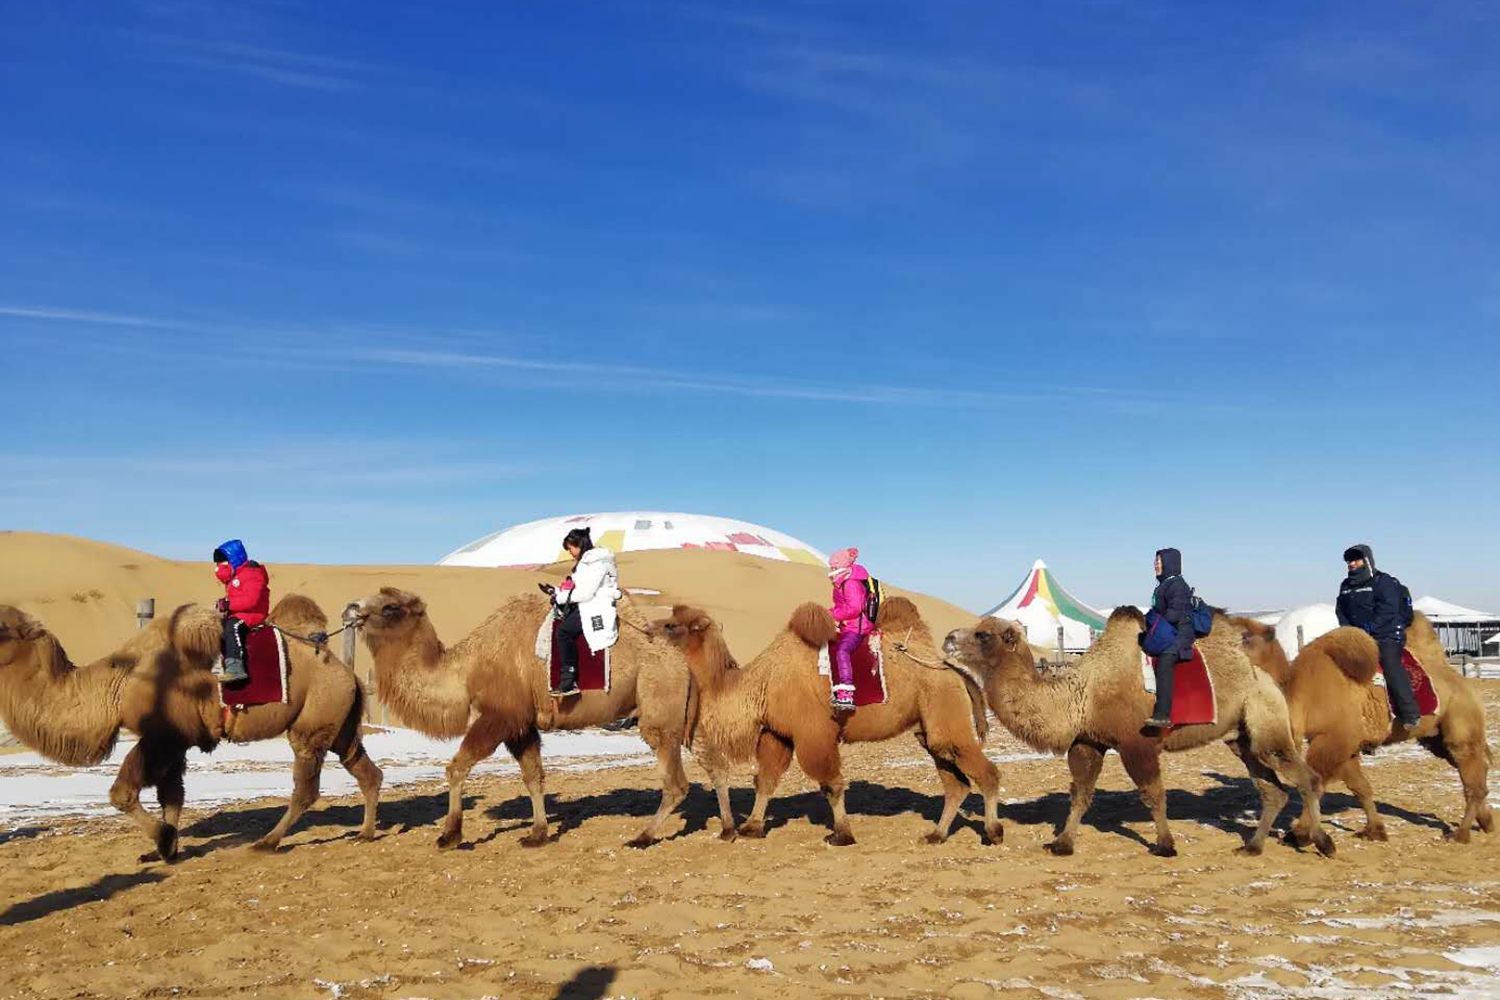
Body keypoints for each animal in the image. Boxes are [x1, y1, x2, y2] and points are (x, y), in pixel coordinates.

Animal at [0, 599, 381, 857]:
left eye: (3, 627)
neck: (119, 682)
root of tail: (348, 673)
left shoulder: (163, 737)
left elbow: (124, 792)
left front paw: (164, 841)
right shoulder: (175, 742)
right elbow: (171, 795)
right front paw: (165, 847)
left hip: (312, 722)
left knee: (306, 789)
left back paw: (267, 842)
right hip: (339, 725)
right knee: (364, 769)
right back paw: (365, 832)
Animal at [346, 590, 702, 851]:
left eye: (390, 606)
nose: (351, 608)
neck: (468, 668)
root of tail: (682, 664)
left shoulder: (501, 716)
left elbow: (457, 767)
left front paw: (450, 835)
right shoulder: (521, 727)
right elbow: (534, 777)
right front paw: (538, 834)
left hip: (658, 705)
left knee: (675, 782)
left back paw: (643, 837)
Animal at [660, 599, 996, 851]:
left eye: (671, 625)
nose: (651, 629)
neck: (762, 683)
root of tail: (953, 669)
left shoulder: (814, 731)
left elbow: (831, 784)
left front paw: (842, 834)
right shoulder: (777, 733)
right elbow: (765, 780)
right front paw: (752, 827)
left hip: (945, 712)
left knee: (985, 773)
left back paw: (993, 832)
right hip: (929, 729)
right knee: (956, 783)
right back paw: (936, 835)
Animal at [942, 611, 1332, 863]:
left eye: (983, 635)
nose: (948, 638)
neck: (1082, 694)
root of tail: (1270, 674)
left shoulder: (1136, 743)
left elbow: (1152, 794)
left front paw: (1165, 845)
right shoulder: (1089, 742)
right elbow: (1080, 794)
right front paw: (1062, 843)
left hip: (1266, 721)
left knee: (1306, 777)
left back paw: (1320, 840)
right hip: (1242, 738)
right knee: (1273, 789)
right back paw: (1252, 846)